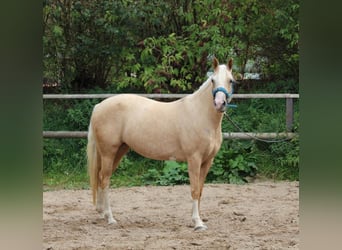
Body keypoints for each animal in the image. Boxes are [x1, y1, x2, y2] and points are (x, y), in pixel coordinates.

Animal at [87, 57, 234, 231]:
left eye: (231, 80)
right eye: (212, 80)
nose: (219, 103)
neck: (200, 114)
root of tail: (99, 106)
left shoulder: (207, 161)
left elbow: (200, 191)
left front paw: (199, 220)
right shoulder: (194, 159)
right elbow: (194, 189)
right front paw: (197, 223)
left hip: (118, 151)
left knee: (100, 176)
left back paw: (102, 213)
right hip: (108, 152)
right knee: (105, 180)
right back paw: (110, 218)